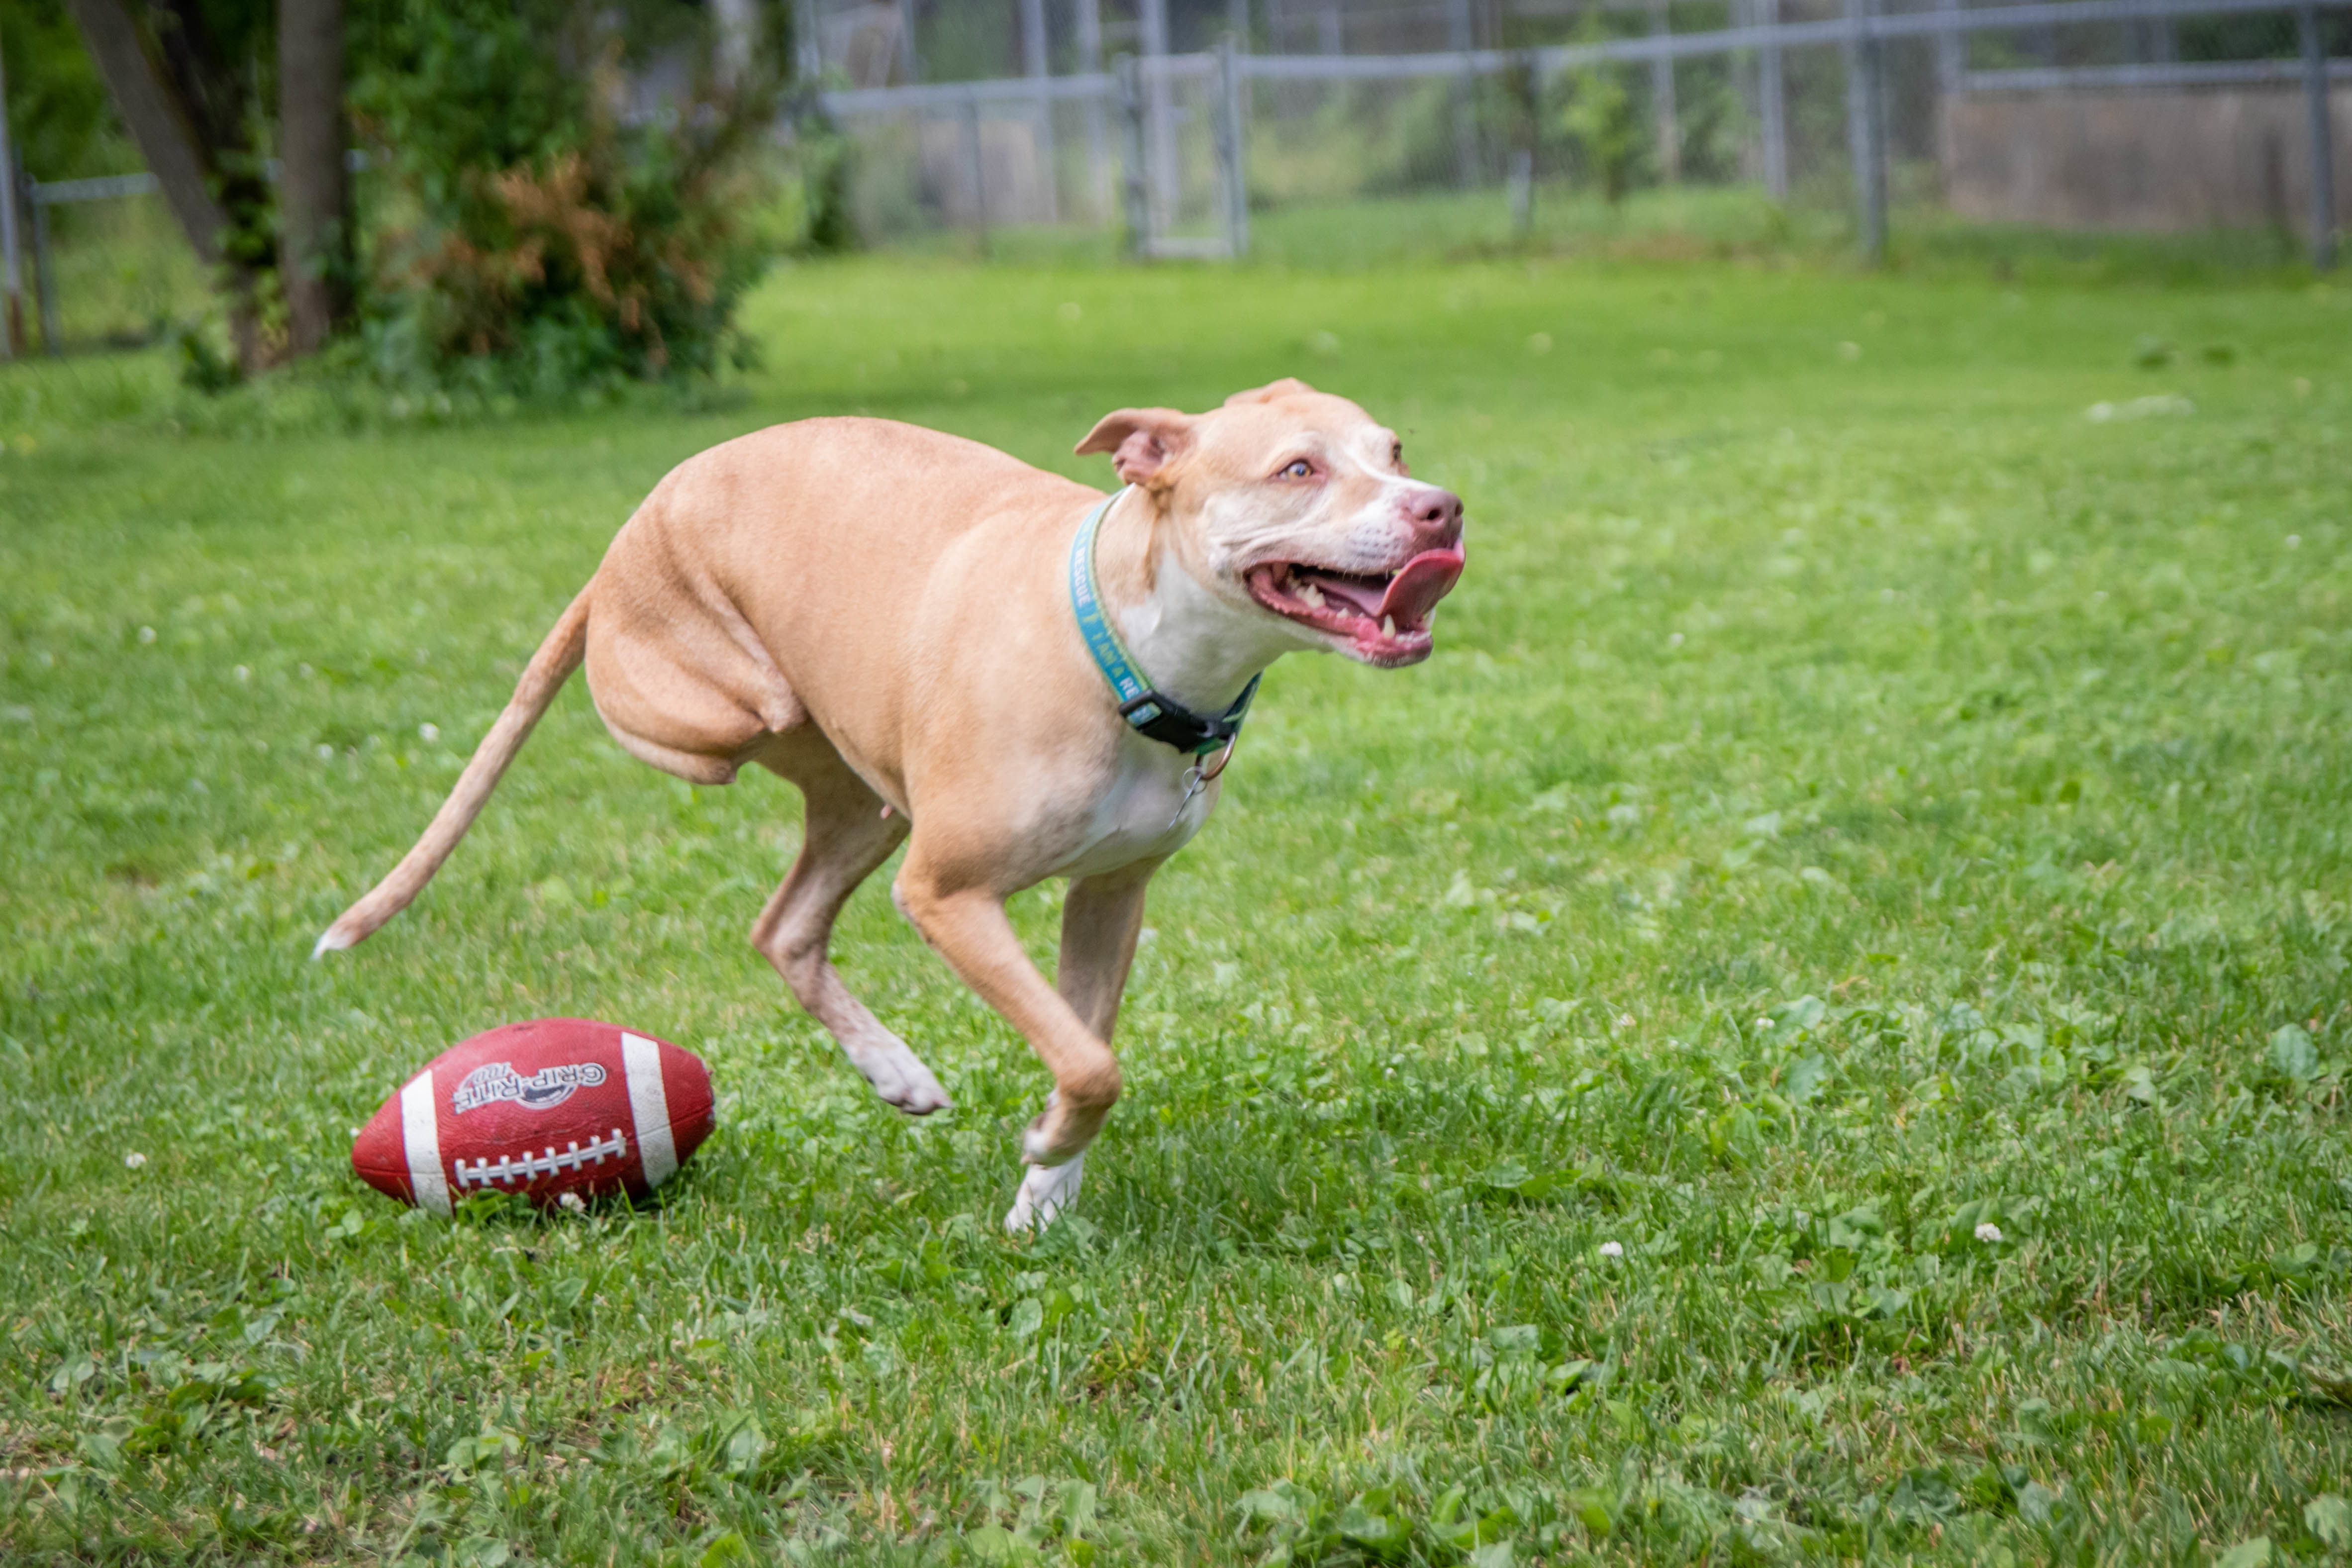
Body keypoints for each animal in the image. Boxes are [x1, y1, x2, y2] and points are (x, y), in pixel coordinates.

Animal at [305, 376, 1458, 1222]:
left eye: (1395, 451)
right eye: (1297, 469)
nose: (1439, 508)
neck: (1126, 648)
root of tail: (627, 533)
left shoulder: (1110, 896)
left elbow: (1084, 1050)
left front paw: (1044, 1196)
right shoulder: (947, 895)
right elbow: (1091, 1066)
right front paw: (1048, 1146)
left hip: (869, 802)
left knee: (785, 926)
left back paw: (893, 1070)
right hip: (734, 715)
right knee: (698, 731)